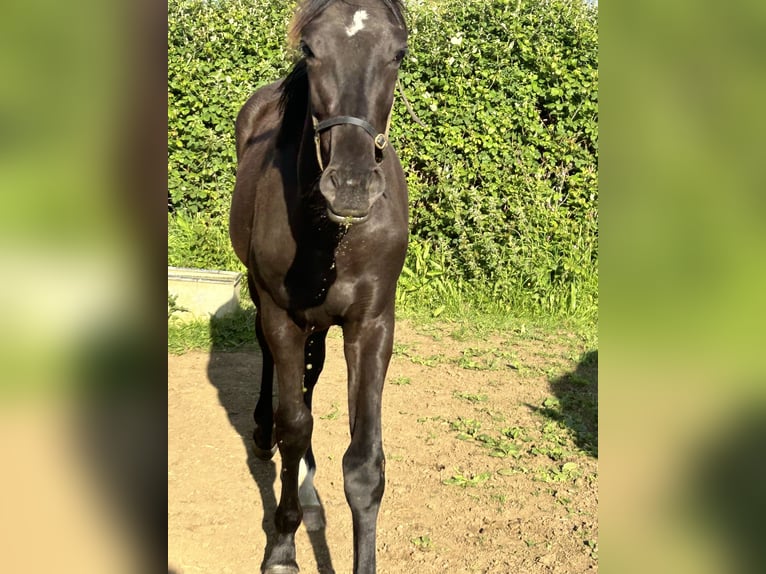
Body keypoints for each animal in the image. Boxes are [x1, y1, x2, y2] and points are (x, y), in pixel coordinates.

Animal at [228, 2, 408, 572]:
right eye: (309, 48)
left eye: (399, 51)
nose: (350, 186)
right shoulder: (282, 316)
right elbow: (293, 426)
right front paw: (283, 547)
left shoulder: (371, 324)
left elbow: (364, 463)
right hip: (267, 303)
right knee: (280, 389)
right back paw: (263, 434)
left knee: (310, 377)